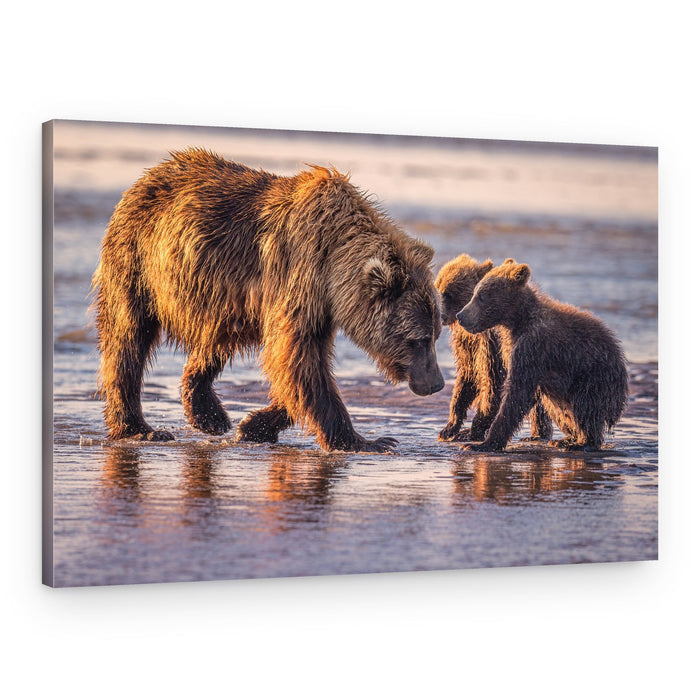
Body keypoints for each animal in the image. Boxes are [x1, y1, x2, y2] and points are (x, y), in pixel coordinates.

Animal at [92, 149, 445, 452]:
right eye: (418, 339)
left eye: (436, 334)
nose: (437, 383)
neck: (333, 261)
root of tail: (150, 174)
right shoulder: (299, 277)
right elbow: (298, 360)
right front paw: (369, 441)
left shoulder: (320, 306)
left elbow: (298, 368)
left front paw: (254, 425)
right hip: (138, 261)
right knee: (128, 338)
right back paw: (140, 428)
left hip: (220, 298)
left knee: (213, 343)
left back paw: (209, 415)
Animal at [435, 254, 552, 442]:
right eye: (438, 288)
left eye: (448, 293)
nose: (438, 315)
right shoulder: (467, 343)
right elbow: (468, 375)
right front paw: (449, 428)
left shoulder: (492, 342)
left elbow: (494, 379)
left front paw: (472, 431)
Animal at [456, 258, 628, 451]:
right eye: (475, 293)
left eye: (481, 296)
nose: (461, 315)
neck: (518, 320)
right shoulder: (513, 347)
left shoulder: (533, 346)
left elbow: (517, 392)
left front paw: (482, 444)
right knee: (559, 408)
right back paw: (566, 439)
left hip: (595, 377)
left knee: (586, 407)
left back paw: (584, 442)